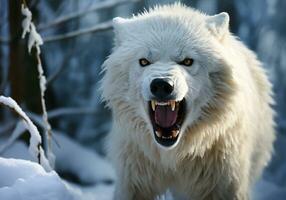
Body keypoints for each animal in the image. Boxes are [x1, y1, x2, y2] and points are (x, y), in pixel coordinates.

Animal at [100, 3, 274, 200]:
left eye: (187, 61)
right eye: (144, 61)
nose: (161, 85)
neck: (173, 157)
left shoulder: (224, 182)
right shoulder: (133, 180)